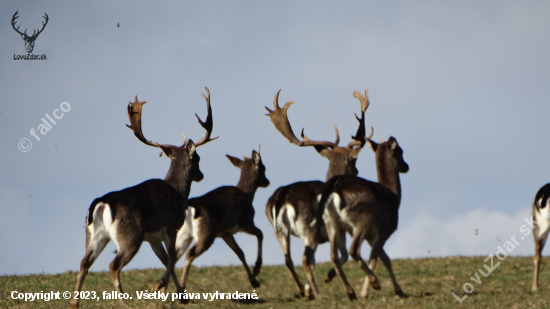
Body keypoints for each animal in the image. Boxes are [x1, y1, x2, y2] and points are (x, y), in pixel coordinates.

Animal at [69, 88, 216, 306]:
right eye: (197, 158)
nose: (201, 175)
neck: (178, 192)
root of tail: (103, 203)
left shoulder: (152, 237)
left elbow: (165, 259)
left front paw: (178, 295)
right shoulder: (171, 226)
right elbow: (172, 258)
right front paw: (161, 288)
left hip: (95, 234)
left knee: (84, 263)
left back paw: (75, 303)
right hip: (131, 234)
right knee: (113, 265)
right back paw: (125, 304)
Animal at [175, 147, 270, 296]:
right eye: (263, 168)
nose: (267, 182)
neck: (247, 194)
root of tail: (191, 208)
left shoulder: (226, 233)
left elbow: (240, 252)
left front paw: (254, 281)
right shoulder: (245, 221)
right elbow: (260, 233)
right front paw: (257, 268)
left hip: (184, 234)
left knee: (173, 254)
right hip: (207, 232)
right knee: (190, 253)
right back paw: (182, 289)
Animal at [264, 89, 376, 298]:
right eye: (354, 162)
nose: (356, 172)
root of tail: (281, 202)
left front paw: (312, 285)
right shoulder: (338, 229)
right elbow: (343, 255)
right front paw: (329, 277)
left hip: (280, 231)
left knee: (289, 260)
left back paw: (304, 290)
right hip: (310, 229)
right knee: (305, 259)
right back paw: (318, 294)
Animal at [314, 136, 410, 300]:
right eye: (400, 151)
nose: (406, 166)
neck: (394, 197)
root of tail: (334, 189)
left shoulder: (372, 236)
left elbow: (385, 259)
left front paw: (399, 291)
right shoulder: (387, 228)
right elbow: (374, 259)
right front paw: (366, 291)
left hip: (331, 223)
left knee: (333, 255)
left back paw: (350, 291)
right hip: (362, 220)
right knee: (354, 250)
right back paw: (373, 282)